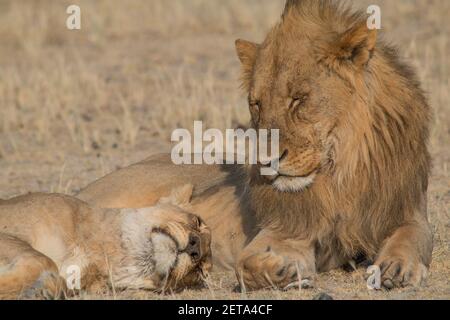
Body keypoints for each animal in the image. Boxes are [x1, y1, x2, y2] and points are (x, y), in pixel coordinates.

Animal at [78, 0, 432, 290]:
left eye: (298, 99)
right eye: (256, 104)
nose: (265, 161)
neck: (340, 173)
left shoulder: (407, 210)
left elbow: (413, 237)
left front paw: (396, 266)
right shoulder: (282, 228)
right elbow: (245, 263)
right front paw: (283, 272)